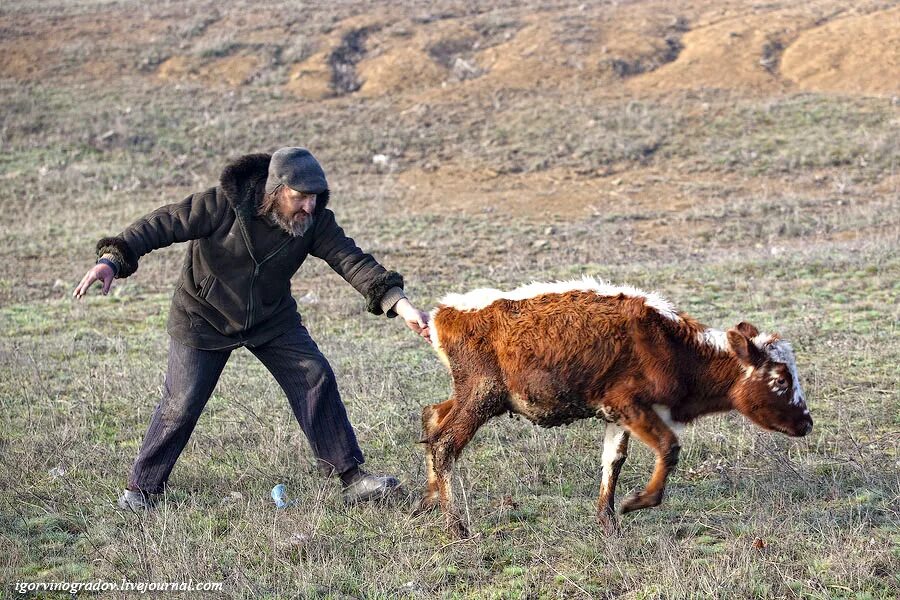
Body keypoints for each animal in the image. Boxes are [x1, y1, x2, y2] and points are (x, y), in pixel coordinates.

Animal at [418, 278, 812, 540]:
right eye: (781, 379)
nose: (807, 423)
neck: (671, 345)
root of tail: (444, 314)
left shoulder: (617, 415)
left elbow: (613, 461)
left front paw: (608, 523)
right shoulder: (629, 404)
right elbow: (669, 448)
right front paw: (635, 502)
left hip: (475, 396)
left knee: (433, 415)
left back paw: (429, 499)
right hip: (481, 396)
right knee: (445, 444)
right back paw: (455, 525)